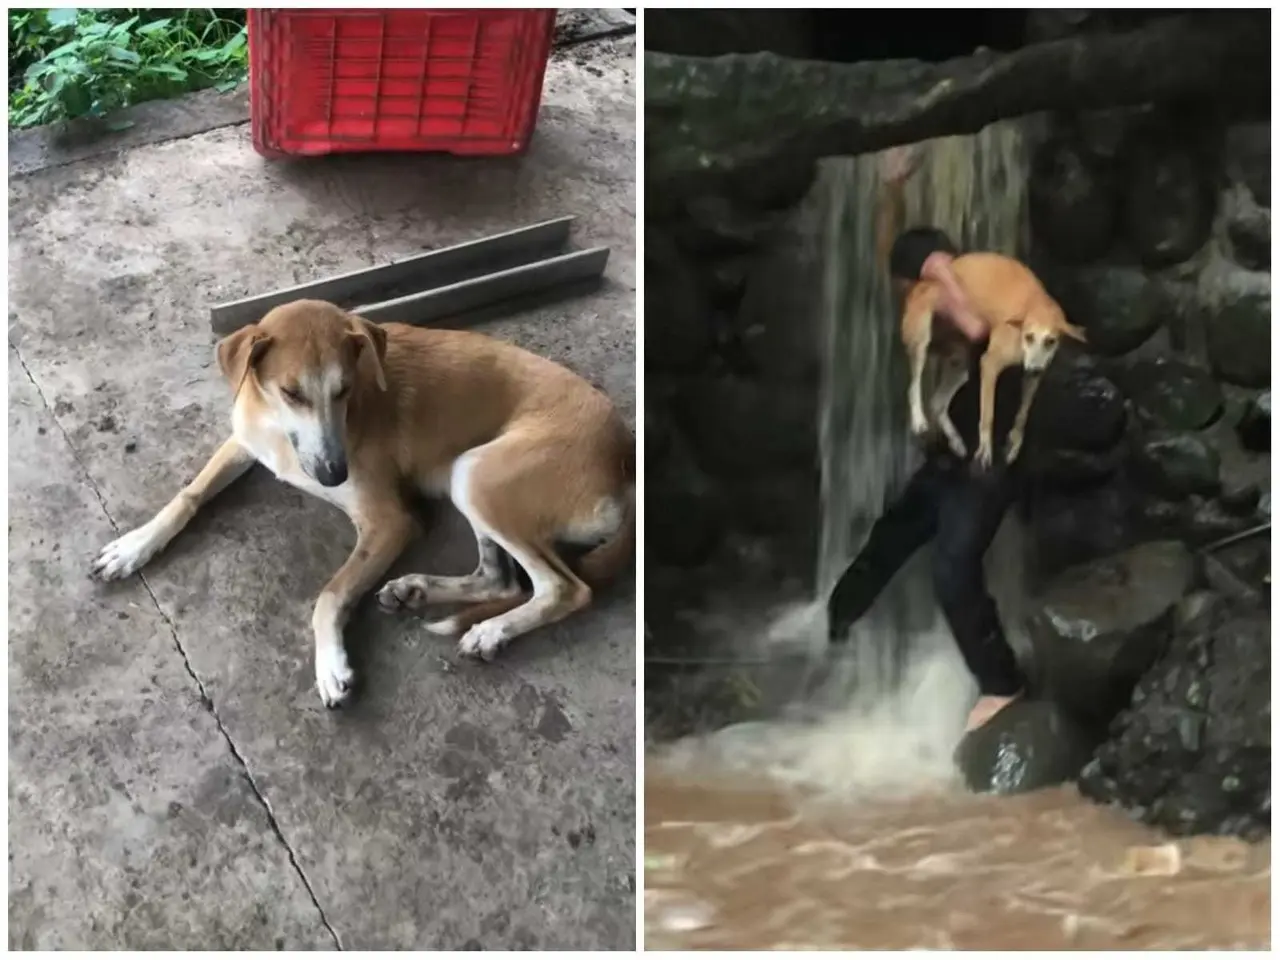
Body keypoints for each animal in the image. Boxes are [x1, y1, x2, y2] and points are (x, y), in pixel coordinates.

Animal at [91, 299, 634, 706]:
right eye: (291, 392)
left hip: (478, 474)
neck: (279, 433)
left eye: (344, 389)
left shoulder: (389, 522)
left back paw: (492, 632)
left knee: (564, 588)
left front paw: (331, 665)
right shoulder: (244, 441)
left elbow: (330, 593)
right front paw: (134, 546)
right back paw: (417, 590)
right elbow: (188, 494)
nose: (335, 474)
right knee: (499, 579)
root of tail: (625, 458)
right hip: (471, 477)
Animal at [901, 252, 1090, 471]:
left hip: (959, 364)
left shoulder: (1033, 377)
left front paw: (1014, 444)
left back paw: (956, 441)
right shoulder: (990, 365)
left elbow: (1022, 414)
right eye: (1029, 337)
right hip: (921, 342)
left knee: (937, 401)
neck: (1033, 307)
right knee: (913, 386)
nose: (1033, 368)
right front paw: (984, 450)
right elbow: (987, 414)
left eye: (1050, 341)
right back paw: (918, 421)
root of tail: (921, 283)